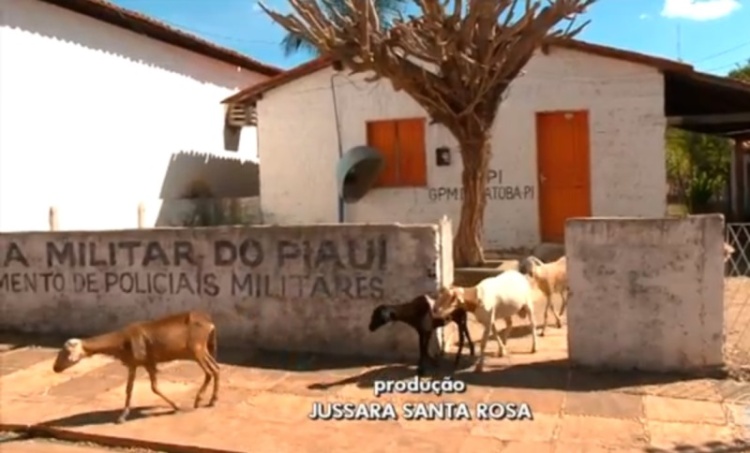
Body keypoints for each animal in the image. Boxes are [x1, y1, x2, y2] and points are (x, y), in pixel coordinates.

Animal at [53, 308, 220, 422]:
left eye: (66, 353)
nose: (55, 368)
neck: (122, 342)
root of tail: (210, 324)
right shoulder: (133, 364)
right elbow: (129, 389)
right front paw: (122, 417)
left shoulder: (148, 362)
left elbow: (154, 387)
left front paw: (177, 406)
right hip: (203, 349)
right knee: (216, 369)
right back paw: (212, 400)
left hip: (196, 349)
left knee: (209, 372)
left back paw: (198, 400)